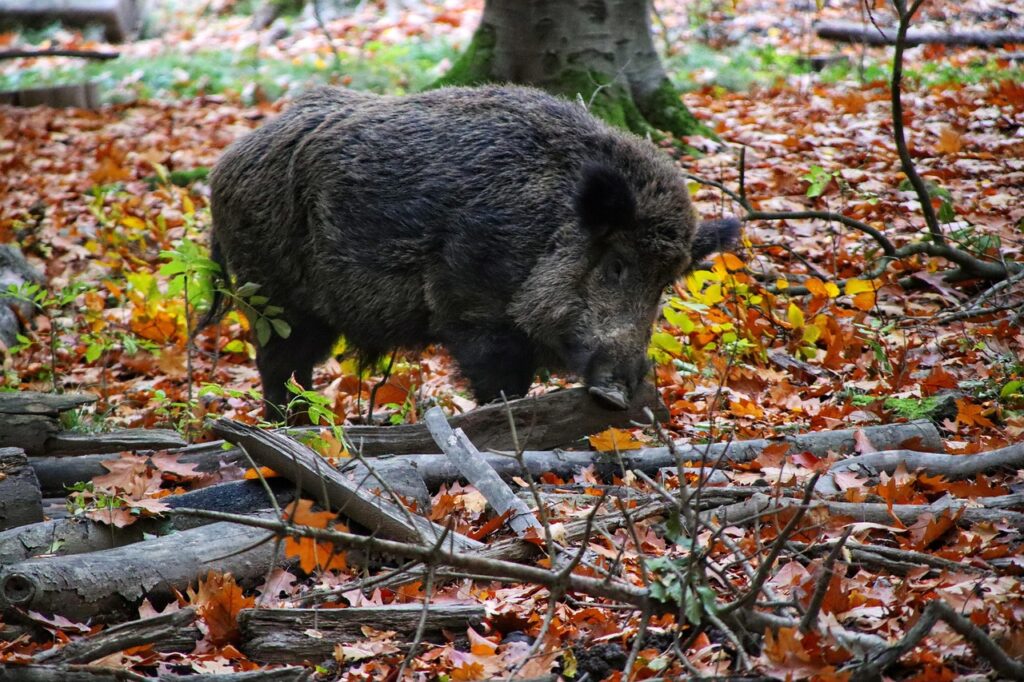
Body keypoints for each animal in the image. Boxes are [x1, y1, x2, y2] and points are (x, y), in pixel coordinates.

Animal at [203, 85, 739, 418]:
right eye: (617, 265)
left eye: (664, 284)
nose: (616, 393)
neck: (544, 228)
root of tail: (223, 165)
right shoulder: (472, 308)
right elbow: (500, 386)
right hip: (271, 296)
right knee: (278, 366)